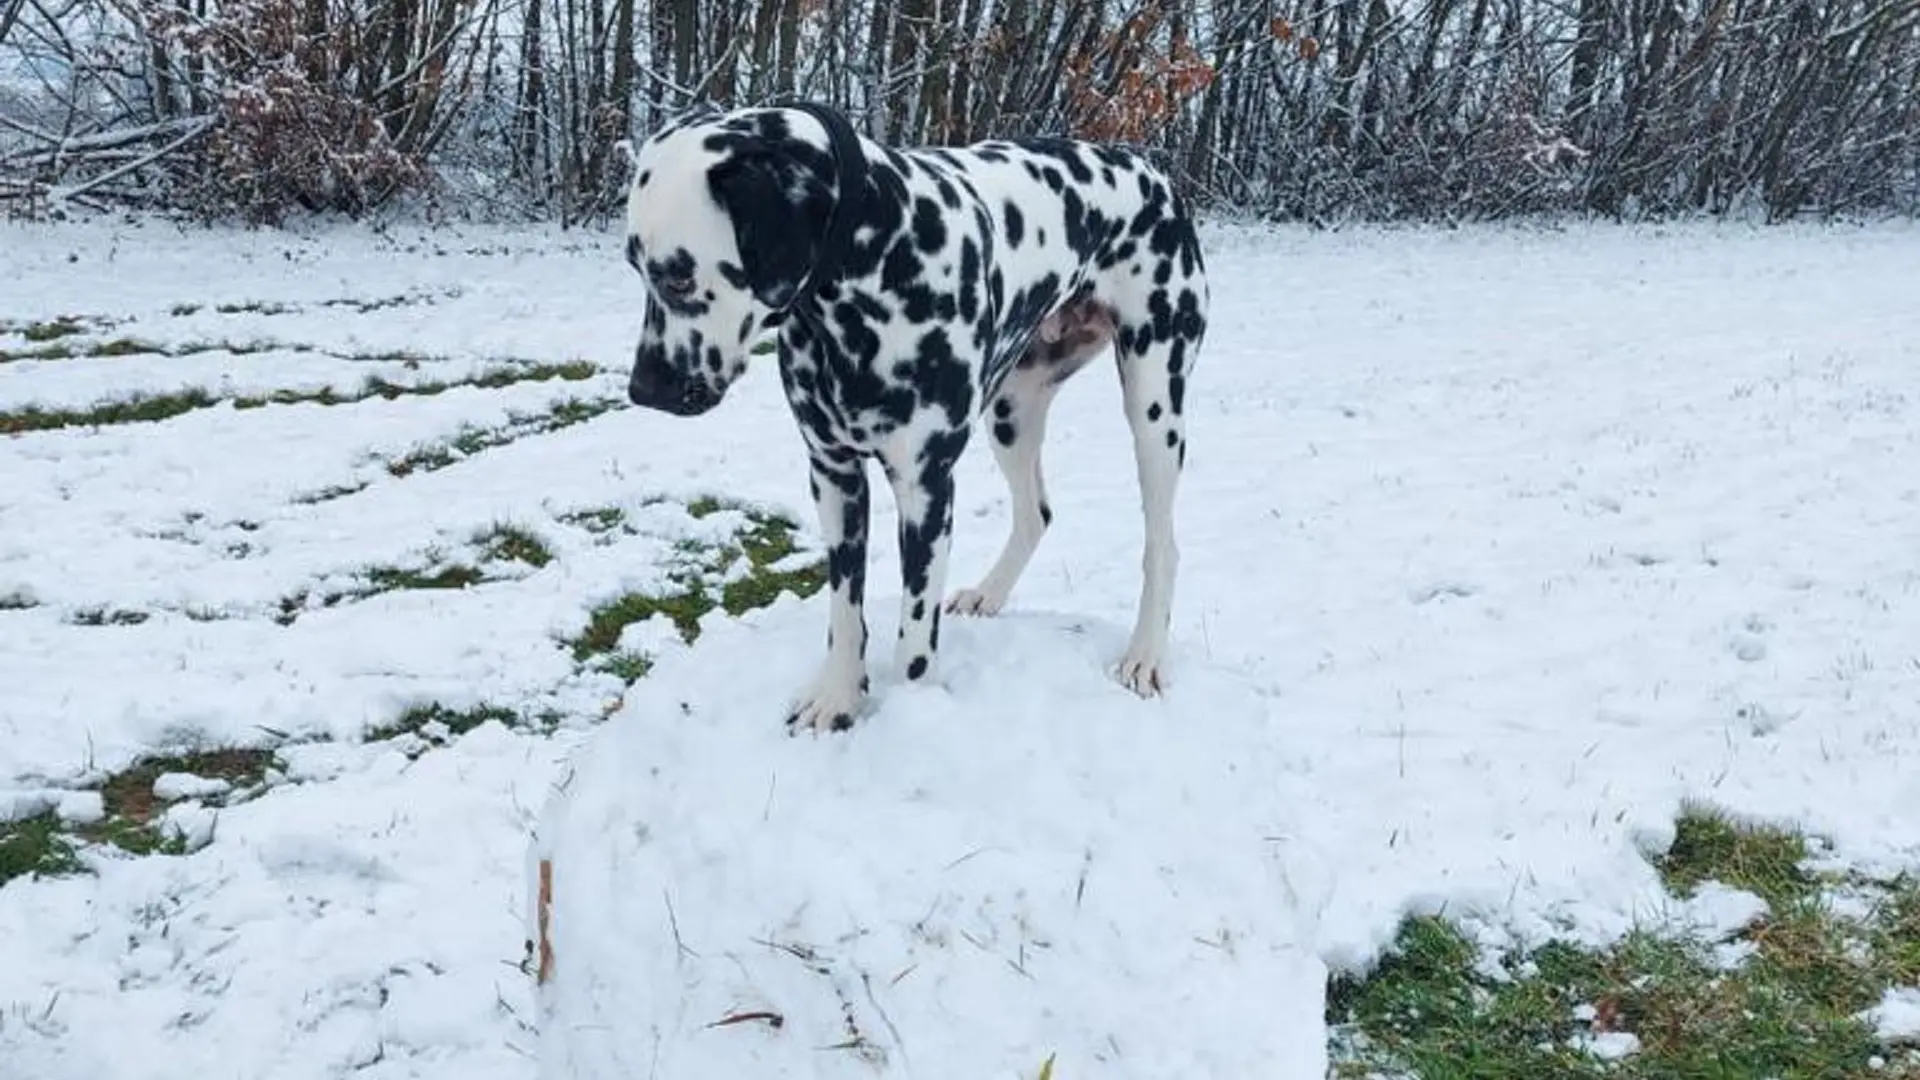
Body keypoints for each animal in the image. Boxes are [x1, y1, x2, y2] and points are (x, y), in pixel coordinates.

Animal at [622, 98, 1205, 730]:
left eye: (680, 275)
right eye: (635, 267)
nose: (643, 390)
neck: (882, 254)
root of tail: (1149, 169)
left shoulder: (924, 487)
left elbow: (915, 645)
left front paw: (912, 714)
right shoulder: (833, 475)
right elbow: (844, 610)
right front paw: (837, 698)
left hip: (1154, 406)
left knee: (1163, 543)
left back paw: (1145, 654)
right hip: (1012, 412)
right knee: (1036, 512)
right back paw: (989, 593)